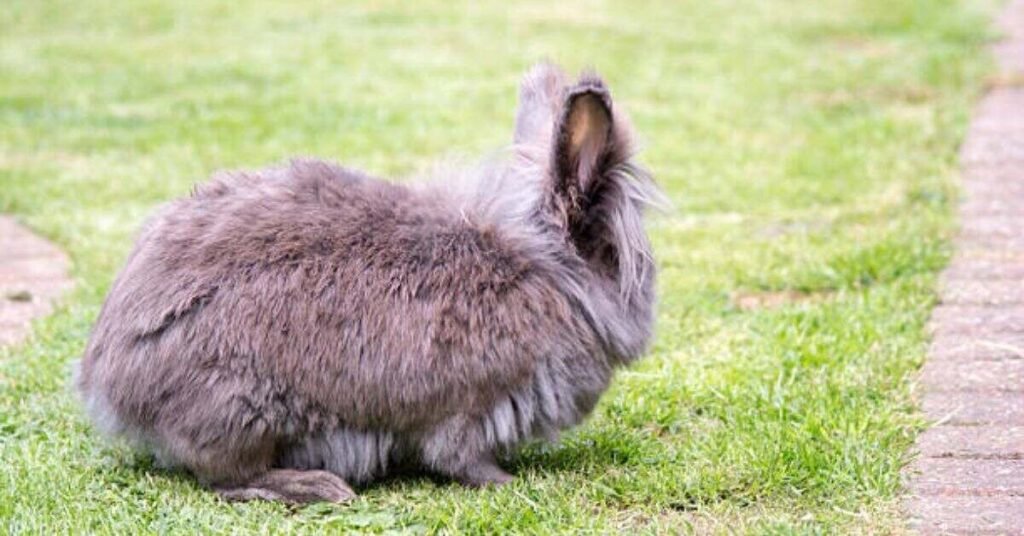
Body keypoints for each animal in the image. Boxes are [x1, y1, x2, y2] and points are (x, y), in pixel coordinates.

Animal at [75, 62, 663, 504]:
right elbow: (460, 458)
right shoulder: (470, 410)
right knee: (226, 478)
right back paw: (320, 486)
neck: (550, 274)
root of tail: (105, 380)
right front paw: (504, 479)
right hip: (239, 411)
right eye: (614, 255)